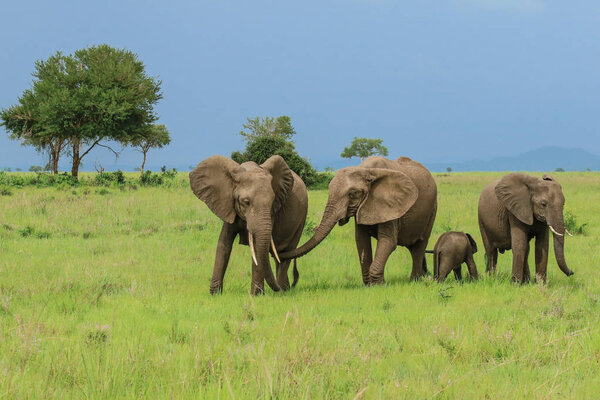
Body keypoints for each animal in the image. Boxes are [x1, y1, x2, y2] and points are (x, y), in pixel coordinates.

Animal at [189, 155, 310, 296]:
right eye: (246, 202)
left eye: (272, 202)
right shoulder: (229, 205)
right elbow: (224, 243)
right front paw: (215, 294)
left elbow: (257, 249)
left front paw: (256, 295)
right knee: (279, 257)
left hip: (301, 218)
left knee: (286, 254)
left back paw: (283, 290)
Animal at [278, 156, 438, 284]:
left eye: (352, 194)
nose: (279, 253)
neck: (366, 170)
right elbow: (361, 240)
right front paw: (369, 285)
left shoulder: (391, 205)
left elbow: (387, 241)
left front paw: (379, 285)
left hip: (432, 209)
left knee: (419, 246)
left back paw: (414, 281)